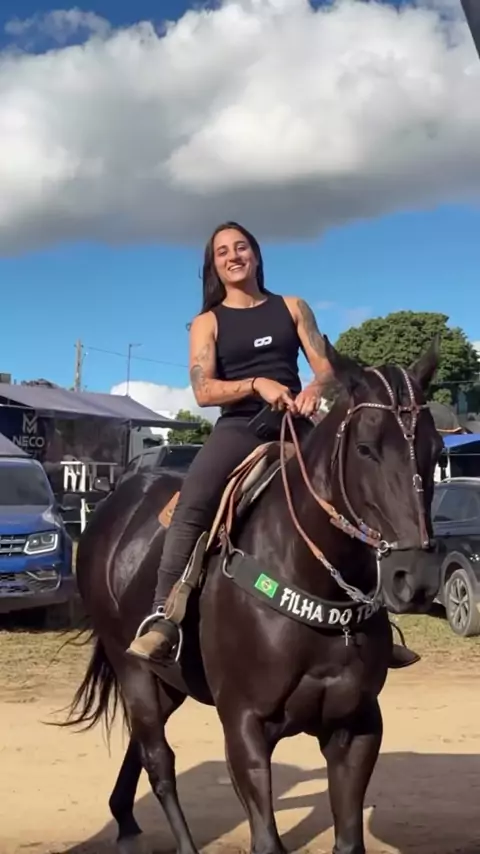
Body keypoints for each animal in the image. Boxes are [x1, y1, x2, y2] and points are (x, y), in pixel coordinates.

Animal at [64, 339, 443, 854]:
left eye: (436, 450)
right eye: (365, 448)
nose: (414, 577)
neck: (310, 581)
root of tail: (112, 507)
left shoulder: (358, 727)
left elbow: (349, 840)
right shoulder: (244, 728)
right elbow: (266, 839)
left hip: (169, 682)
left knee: (141, 746)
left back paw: (123, 815)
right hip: (133, 669)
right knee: (158, 760)